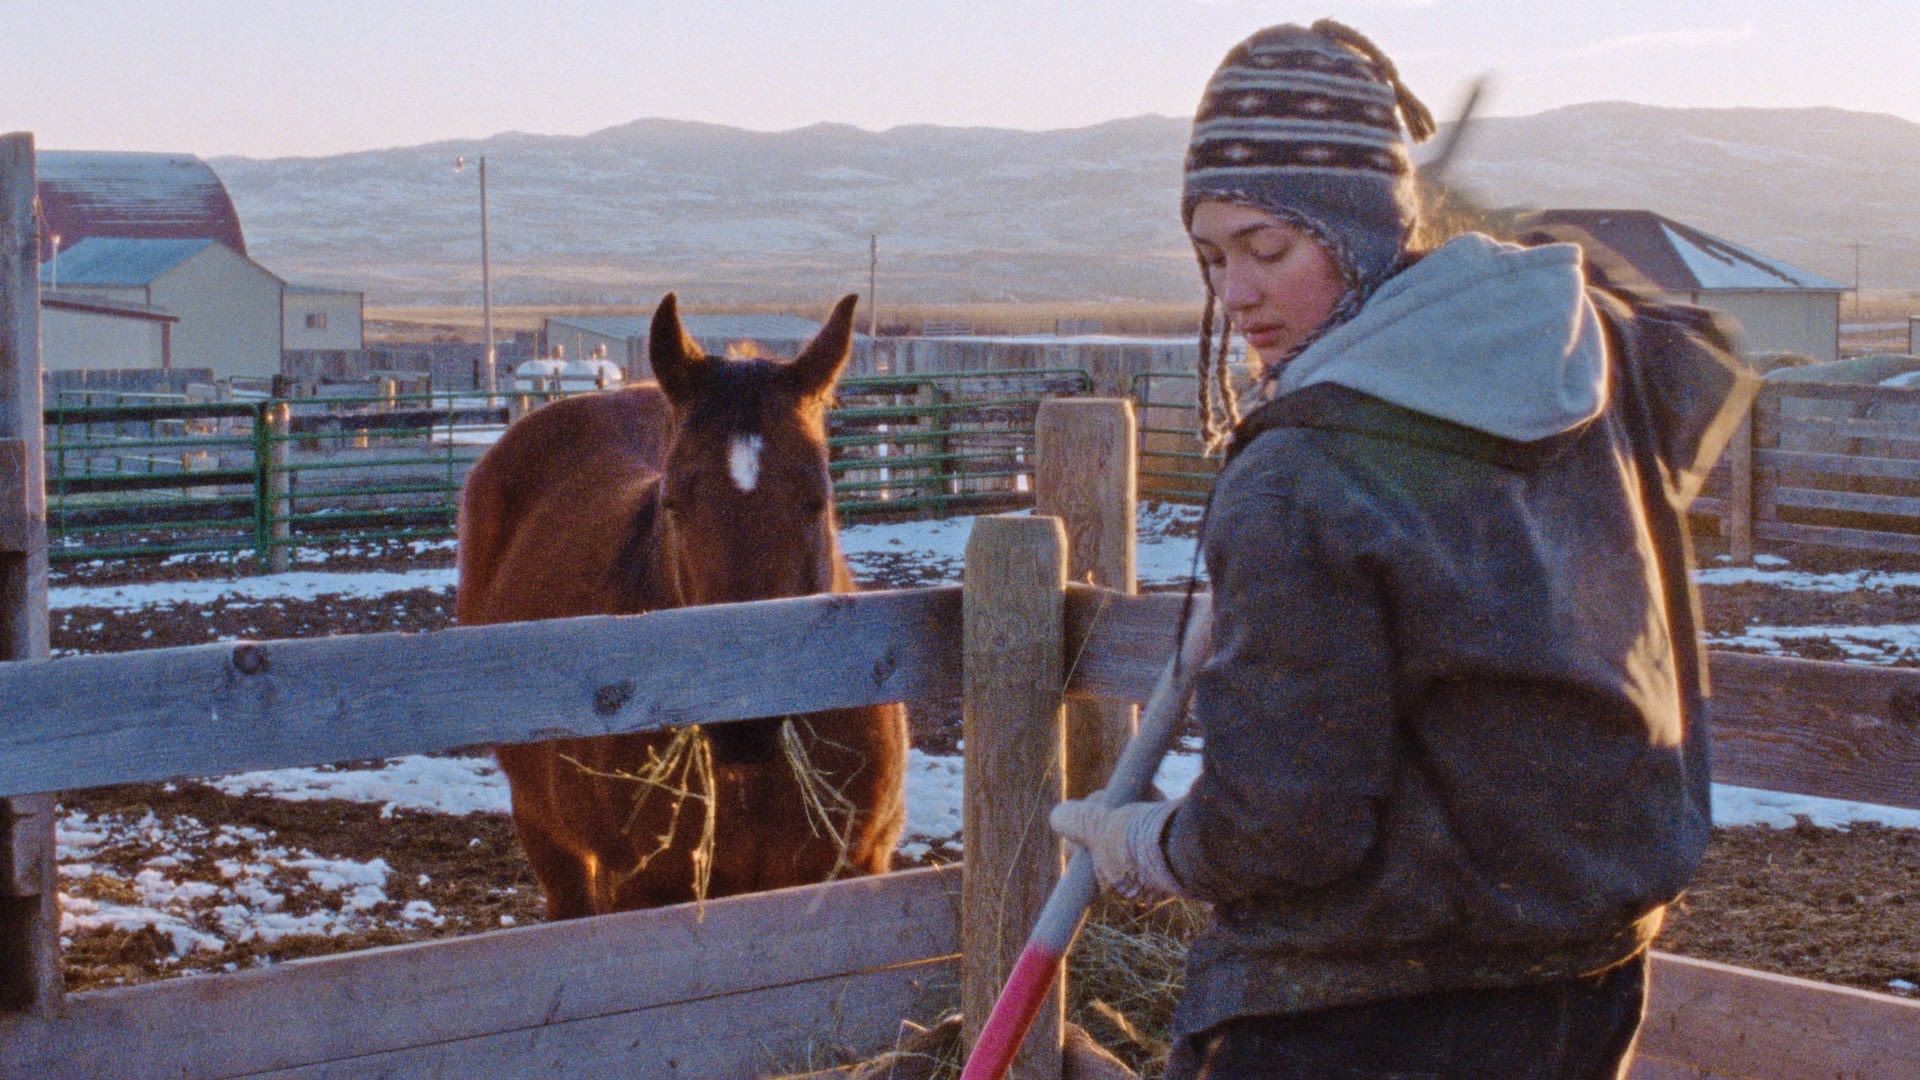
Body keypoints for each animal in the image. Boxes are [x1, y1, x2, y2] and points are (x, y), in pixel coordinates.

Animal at [464, 292, 913, 914]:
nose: (745, 722)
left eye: (817, 499)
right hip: (544, 828)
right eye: (673, 502)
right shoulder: (642, 891)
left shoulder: (853, 871)